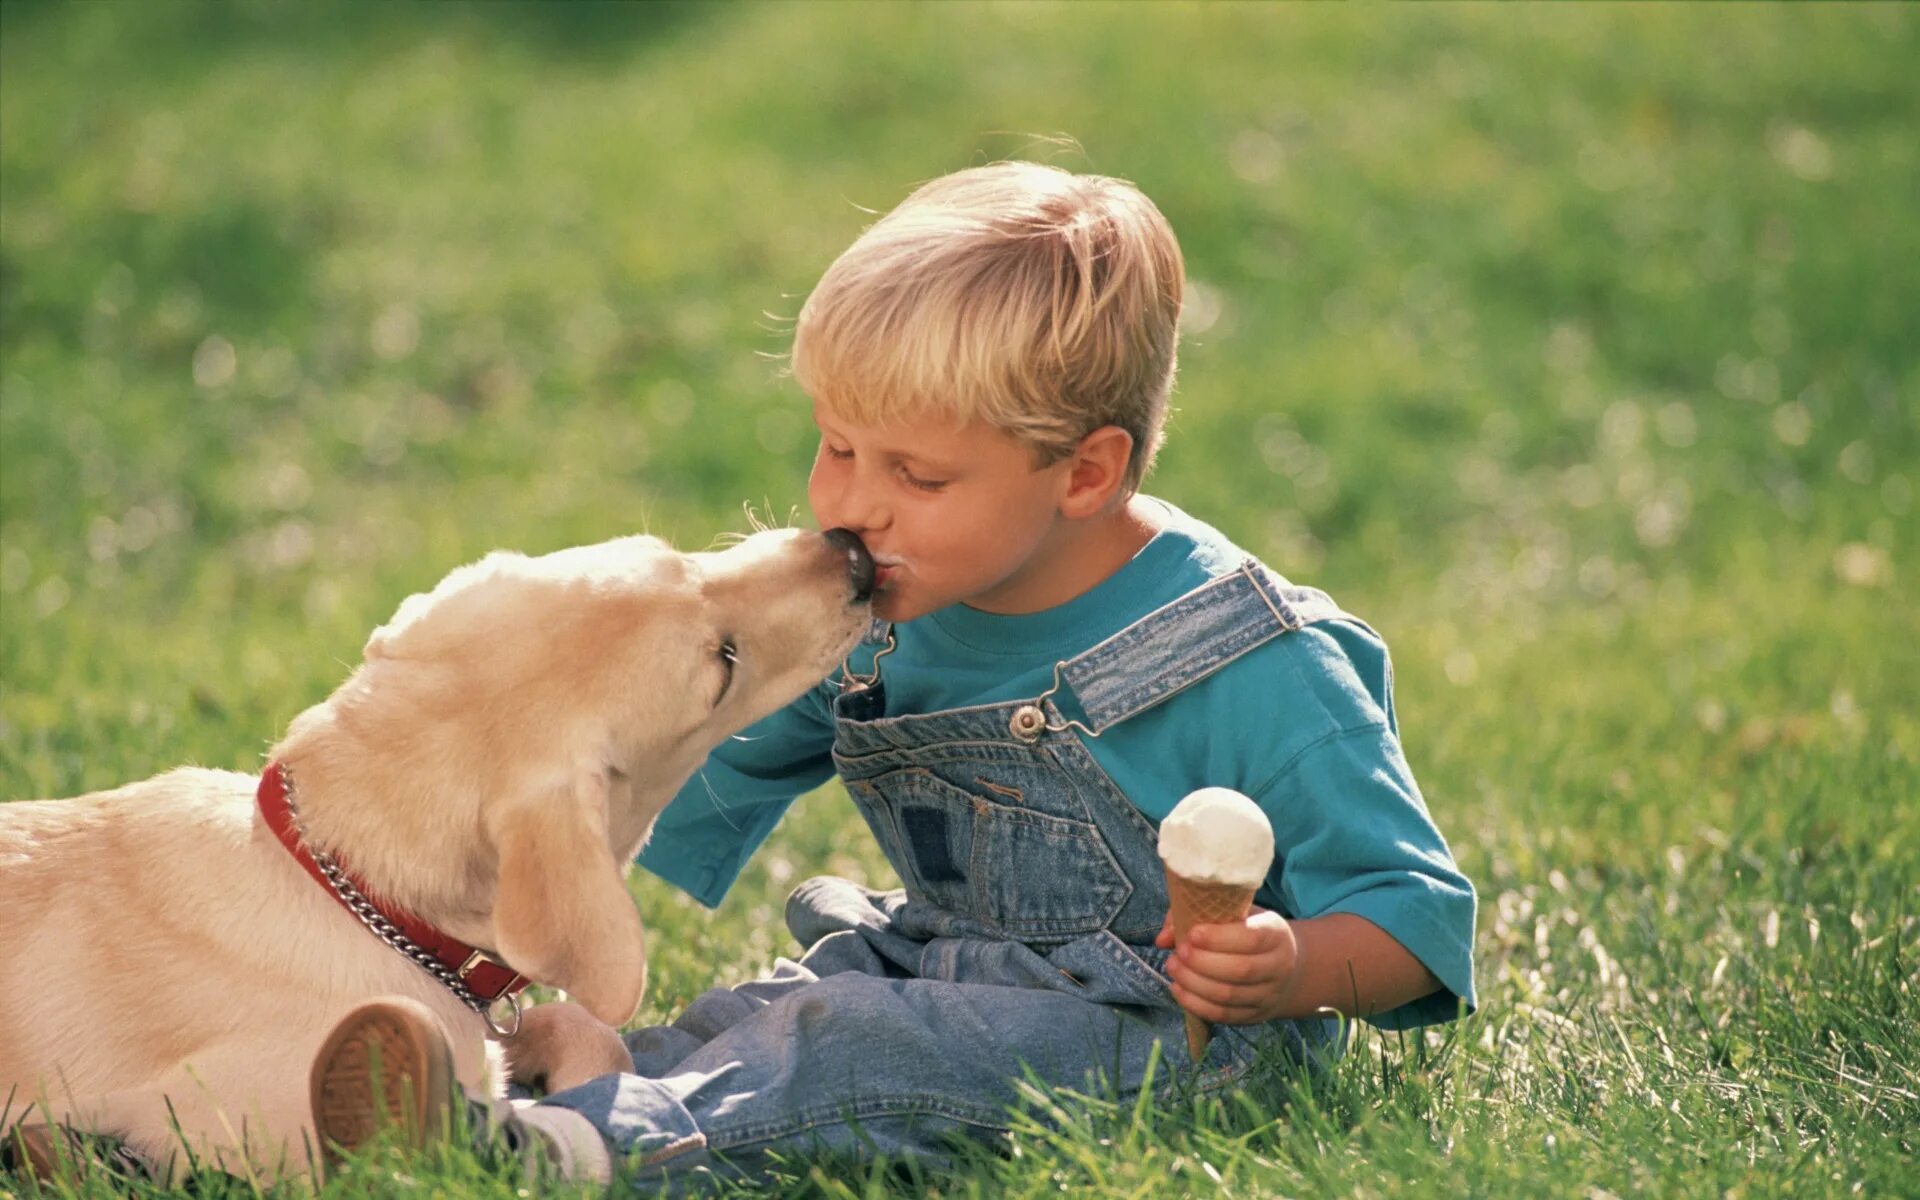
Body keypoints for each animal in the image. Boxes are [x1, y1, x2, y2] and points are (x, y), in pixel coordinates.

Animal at [0, 526, 871, 1182]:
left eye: (679, 556)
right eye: (723, 664)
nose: (857, 553)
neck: (347, 886)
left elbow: (577, 1024)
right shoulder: (242, 1128)